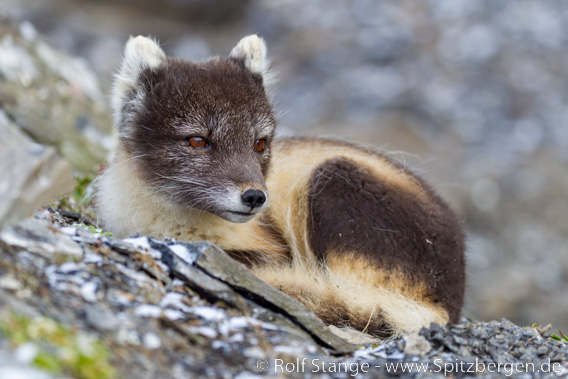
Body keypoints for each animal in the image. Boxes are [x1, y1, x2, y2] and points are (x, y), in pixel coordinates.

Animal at [95, 35, 464, 338]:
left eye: (259, 143)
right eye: (197, 140)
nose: (255, 197)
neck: (171, 224)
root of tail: (447, 304)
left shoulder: (274, 250)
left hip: (332, 179)